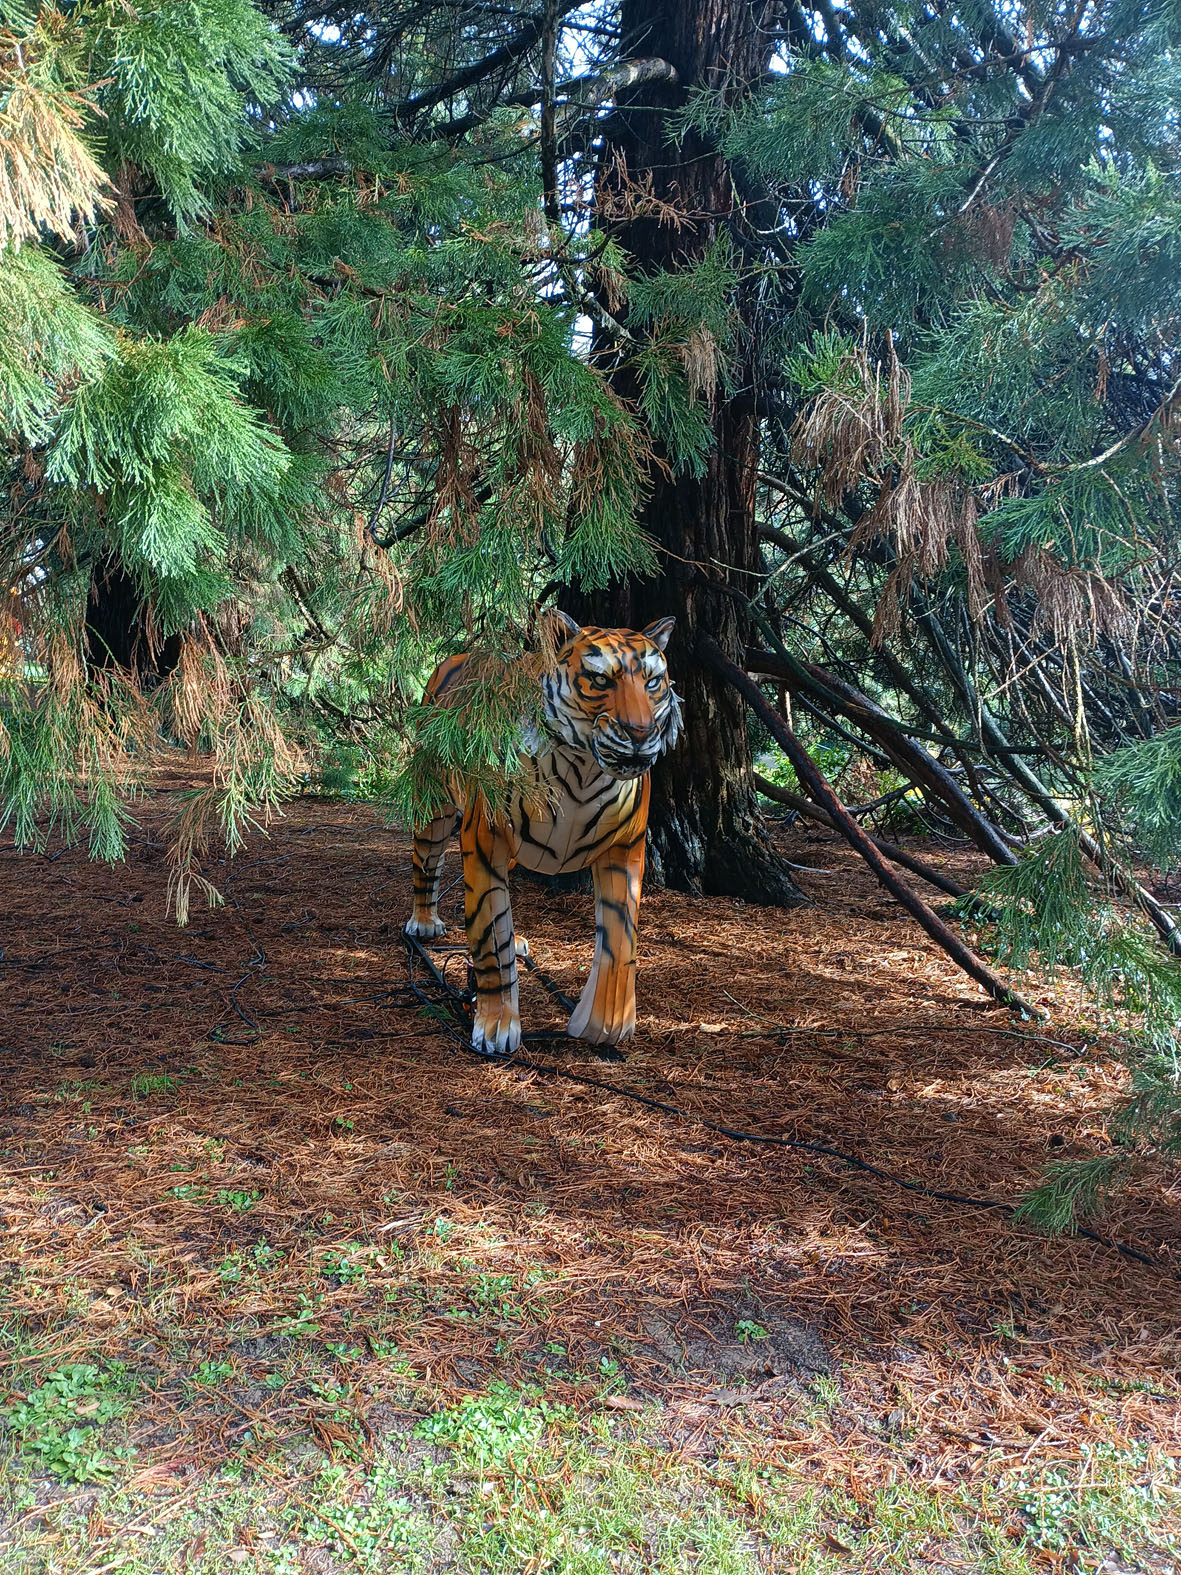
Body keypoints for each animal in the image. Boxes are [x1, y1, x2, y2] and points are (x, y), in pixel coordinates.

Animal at [404, 613, 681, 1055]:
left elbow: (620, 943)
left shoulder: (625, 849)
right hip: (435, 806)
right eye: (600, 680)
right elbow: (490, 940)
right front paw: (496, 1026)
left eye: (653, 682)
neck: (585, 768)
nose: (639, 733)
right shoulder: (485, 842)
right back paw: (424, 922)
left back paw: (518, 941)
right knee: (426, 862)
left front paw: (605, 1026)